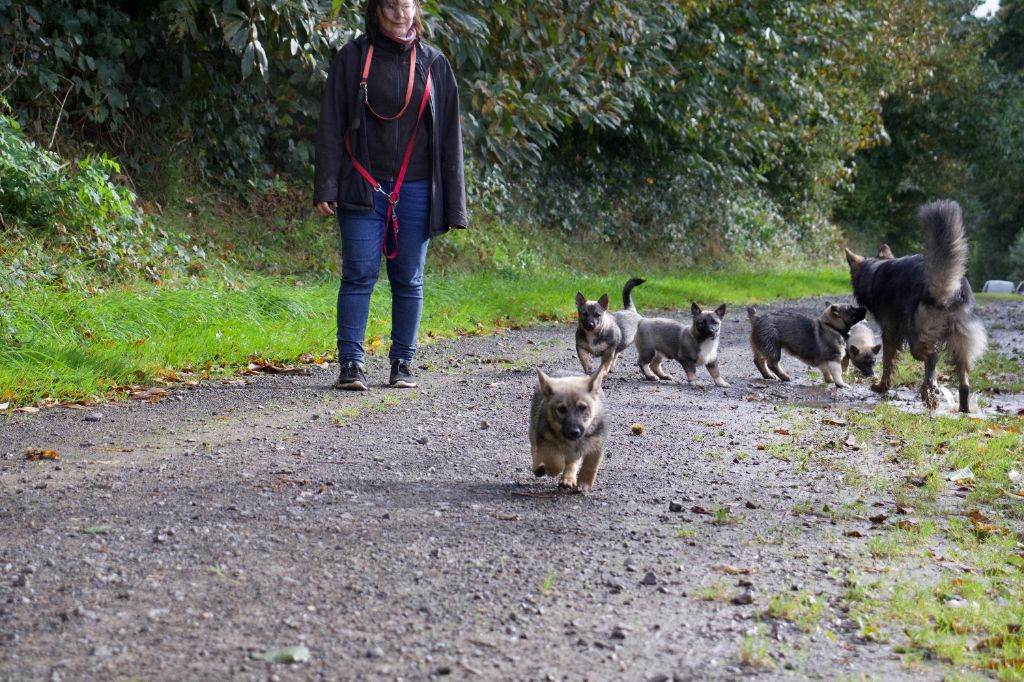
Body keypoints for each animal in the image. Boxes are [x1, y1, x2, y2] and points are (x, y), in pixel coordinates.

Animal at [845, 199, 987, 412]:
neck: (875, 269)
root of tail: (946, 291)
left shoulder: (890, 332)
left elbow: (888, 362)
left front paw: (882, 387)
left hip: (917, 339)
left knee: (932, 358)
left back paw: (928, 395)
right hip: (959, 342)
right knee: (963, 379)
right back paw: (960, 407)